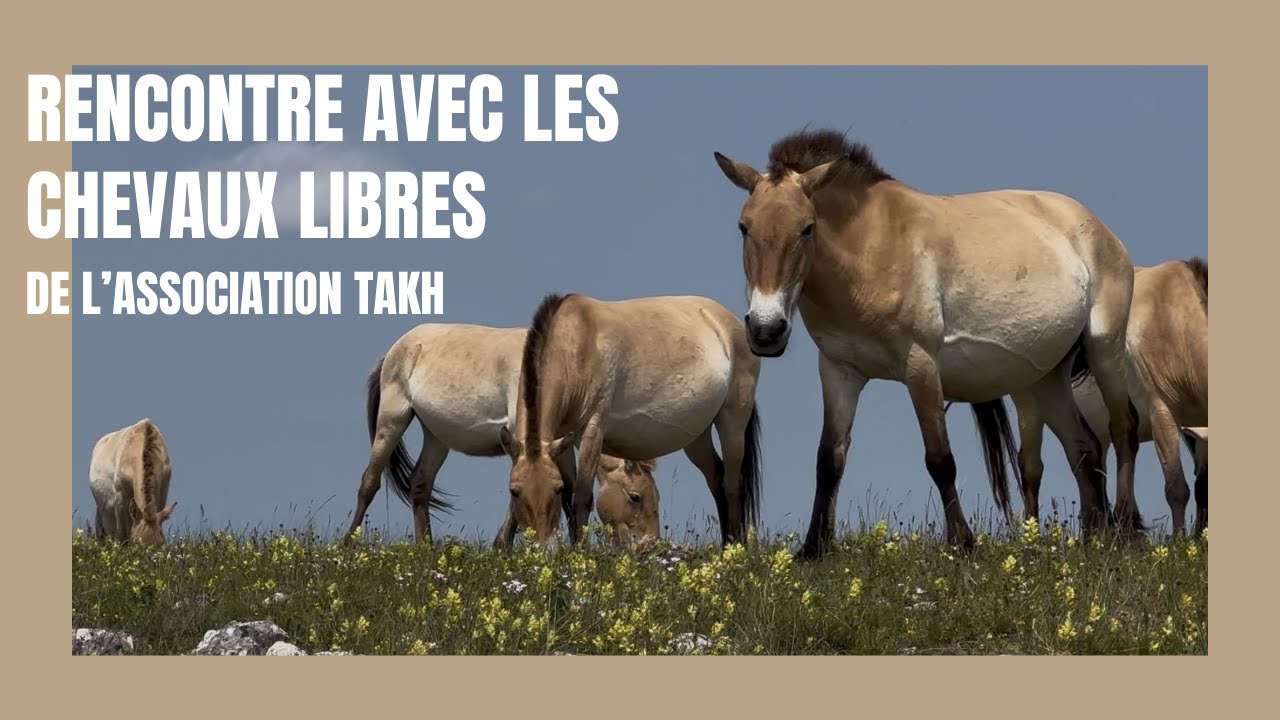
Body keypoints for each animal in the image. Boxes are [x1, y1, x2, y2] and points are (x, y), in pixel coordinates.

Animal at [344, 322, 657, 544]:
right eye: (635, 497)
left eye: (654, 496)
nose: (648, 548)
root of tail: (396, 349)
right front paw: (501, 549)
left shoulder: (559, 444)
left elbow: (570, 491)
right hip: (392, 421)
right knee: (369, 482)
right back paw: (348, 546)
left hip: (437, 436)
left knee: (420, 484)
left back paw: (426, 548)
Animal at [499, 293, 763, 548]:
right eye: (514, 492)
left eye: (556, 489)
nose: (542, 547)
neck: (575, 345)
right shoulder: (560, 438)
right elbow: (571, 497)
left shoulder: (593, 429)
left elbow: (581, 497)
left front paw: (579, 552)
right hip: (698, 437)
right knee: (716, 479)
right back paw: (726, 547)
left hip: (733, 421)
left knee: (732, 484)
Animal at [713, 128, 1140, 558]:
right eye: (744, 227)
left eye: (806, 228)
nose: (766, 330)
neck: (870, 248)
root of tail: (1096, 227)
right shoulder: (839, 370)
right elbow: (828, 460)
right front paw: (813, 548)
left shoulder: (920, 367)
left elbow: (939, 459)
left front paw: (962, 542)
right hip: (1047, 376)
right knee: (1084, 447)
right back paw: (1093, 539)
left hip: (1104, 348)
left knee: (1123, 428)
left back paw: (1122, 529)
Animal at [1011, 257, 1208, 537]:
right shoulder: (1161, 412)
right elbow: (1177, 488)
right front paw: (1179, 540)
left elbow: (1203, 487)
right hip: (1028, 408)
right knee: (1031, 467)